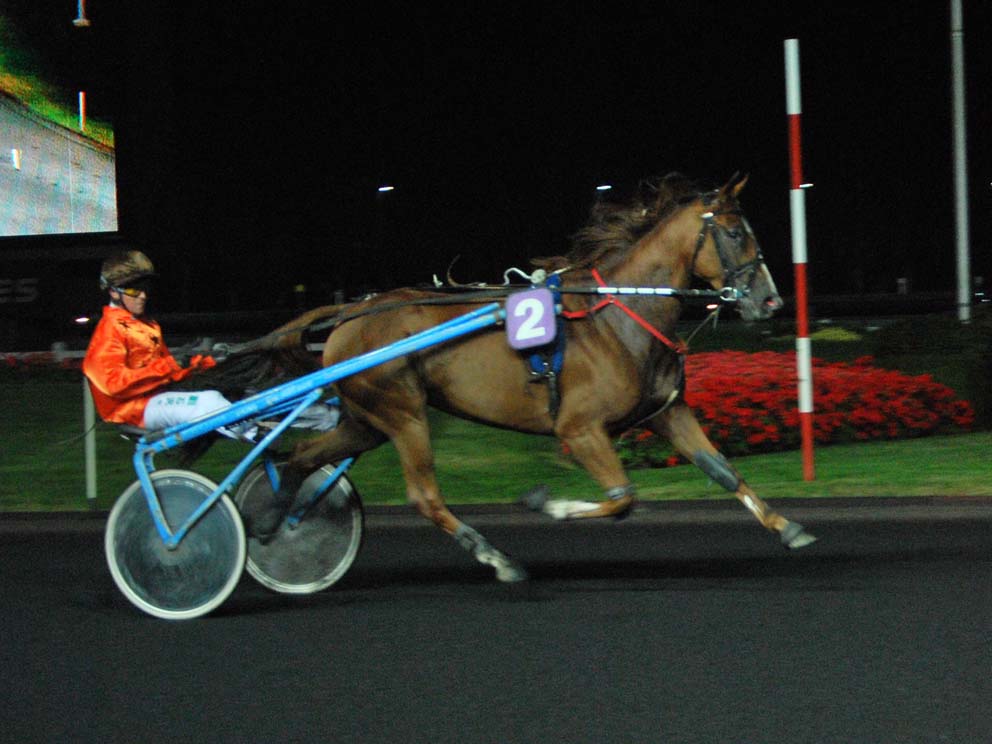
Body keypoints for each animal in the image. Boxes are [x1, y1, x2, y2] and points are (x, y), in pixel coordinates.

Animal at [202, 173, 812, 580]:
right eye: (733, 233)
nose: (771, 301)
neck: (619, 314)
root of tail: (353, 313)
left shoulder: (667, 413)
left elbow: (724, 471)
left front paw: (789, 527)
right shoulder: (578, 429)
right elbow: (622, 497)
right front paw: (547, 503)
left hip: (366, 419)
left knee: (300, 459)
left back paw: (274, 525)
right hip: (403, 413)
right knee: (423, 495)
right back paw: (496, 557)